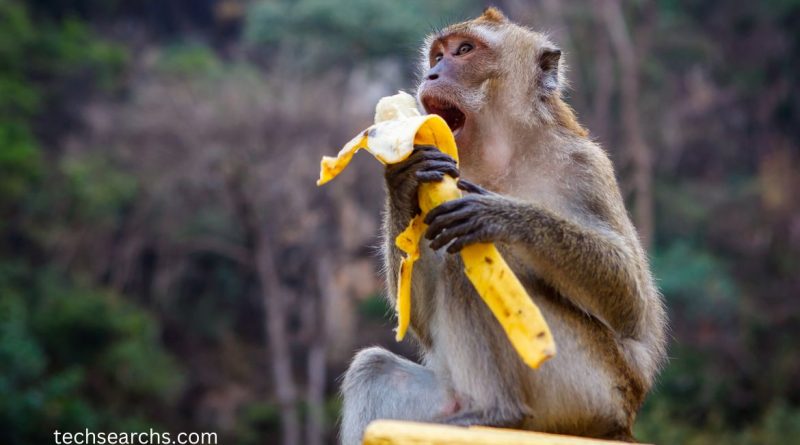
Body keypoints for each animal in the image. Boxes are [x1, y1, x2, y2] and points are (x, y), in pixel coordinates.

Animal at [340, 7, 667, 444]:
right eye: (437, 55)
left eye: (464, 51)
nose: (432, 74)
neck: (502, 155)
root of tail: (621, 425)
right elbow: (419, 320)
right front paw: (404, 176)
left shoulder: (585, 167)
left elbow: (632, 307)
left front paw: (499, 215)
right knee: (374, 368)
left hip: (586, 389)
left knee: (466, 265)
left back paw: (499, 411)